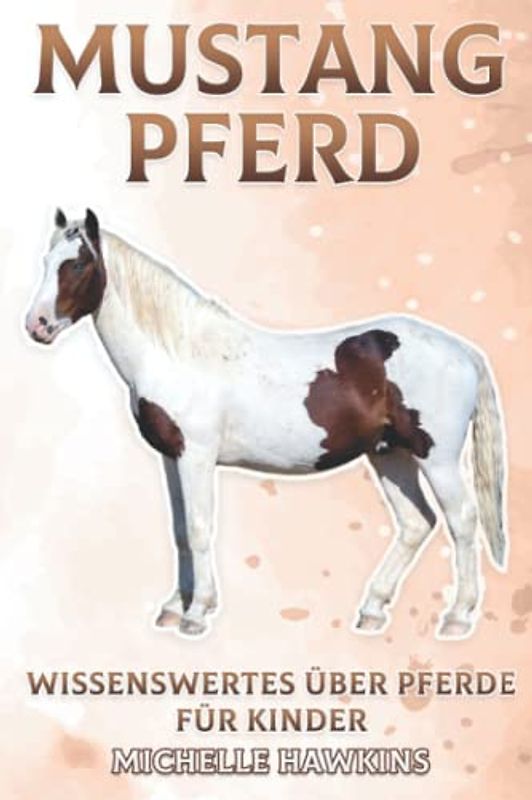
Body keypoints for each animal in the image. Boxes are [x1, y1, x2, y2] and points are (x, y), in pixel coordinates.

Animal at [25, 209, 508, 639]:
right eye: (47, 261)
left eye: (78, 263)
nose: (37, 325)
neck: (179, 351)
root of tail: (464, 351)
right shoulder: (171, 457)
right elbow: (180, 531)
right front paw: (174, 606)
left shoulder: (196, 456)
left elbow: (199, 529)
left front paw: (196, 614)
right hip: (390, 454)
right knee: (415, 523)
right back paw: (372, 611)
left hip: (436, 457)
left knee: (462, 521)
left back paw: (457, 618)